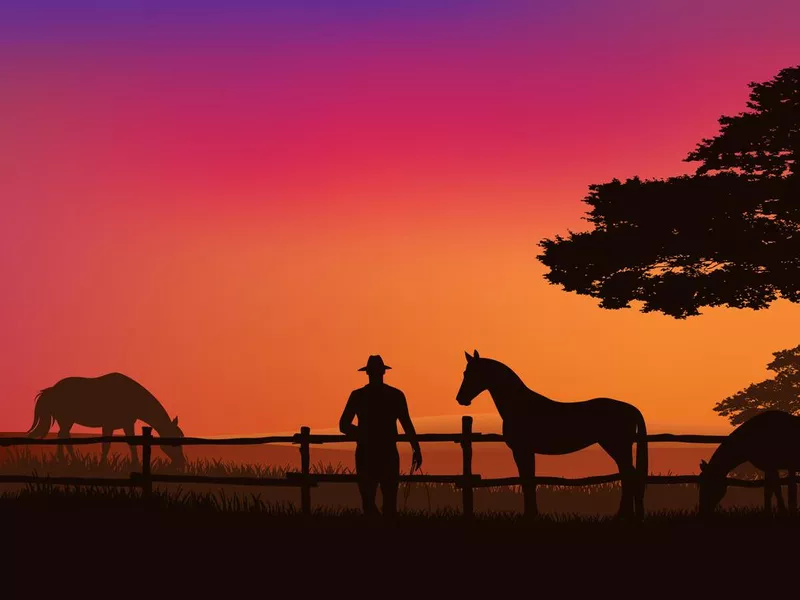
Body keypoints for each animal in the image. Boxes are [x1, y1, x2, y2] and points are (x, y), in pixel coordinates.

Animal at [27, 372, 187, 472]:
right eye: (174, 441)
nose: (182, 463)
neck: (130, 395)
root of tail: (52, 389)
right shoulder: (109, 425)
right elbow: (106, 446)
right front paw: (102, 466)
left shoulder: (127, 424)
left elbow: (132, 444)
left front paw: (134, 465)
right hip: (66, 420)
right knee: (65, 437)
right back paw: (73, 462)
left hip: (66, 422)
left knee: (61, 436)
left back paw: (62, 461)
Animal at [454, 352, 648, 520]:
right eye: (464, 372)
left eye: (472, 373)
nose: (460, 399)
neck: (519, 405)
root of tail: (631, 408)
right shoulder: (526, 451)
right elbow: (528, 480)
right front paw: (532, 514)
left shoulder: (522, 450)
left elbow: (527, 481)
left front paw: (530, 515)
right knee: (628, 476)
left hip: (617, 447)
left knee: (629, 476)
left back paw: (622, 516)